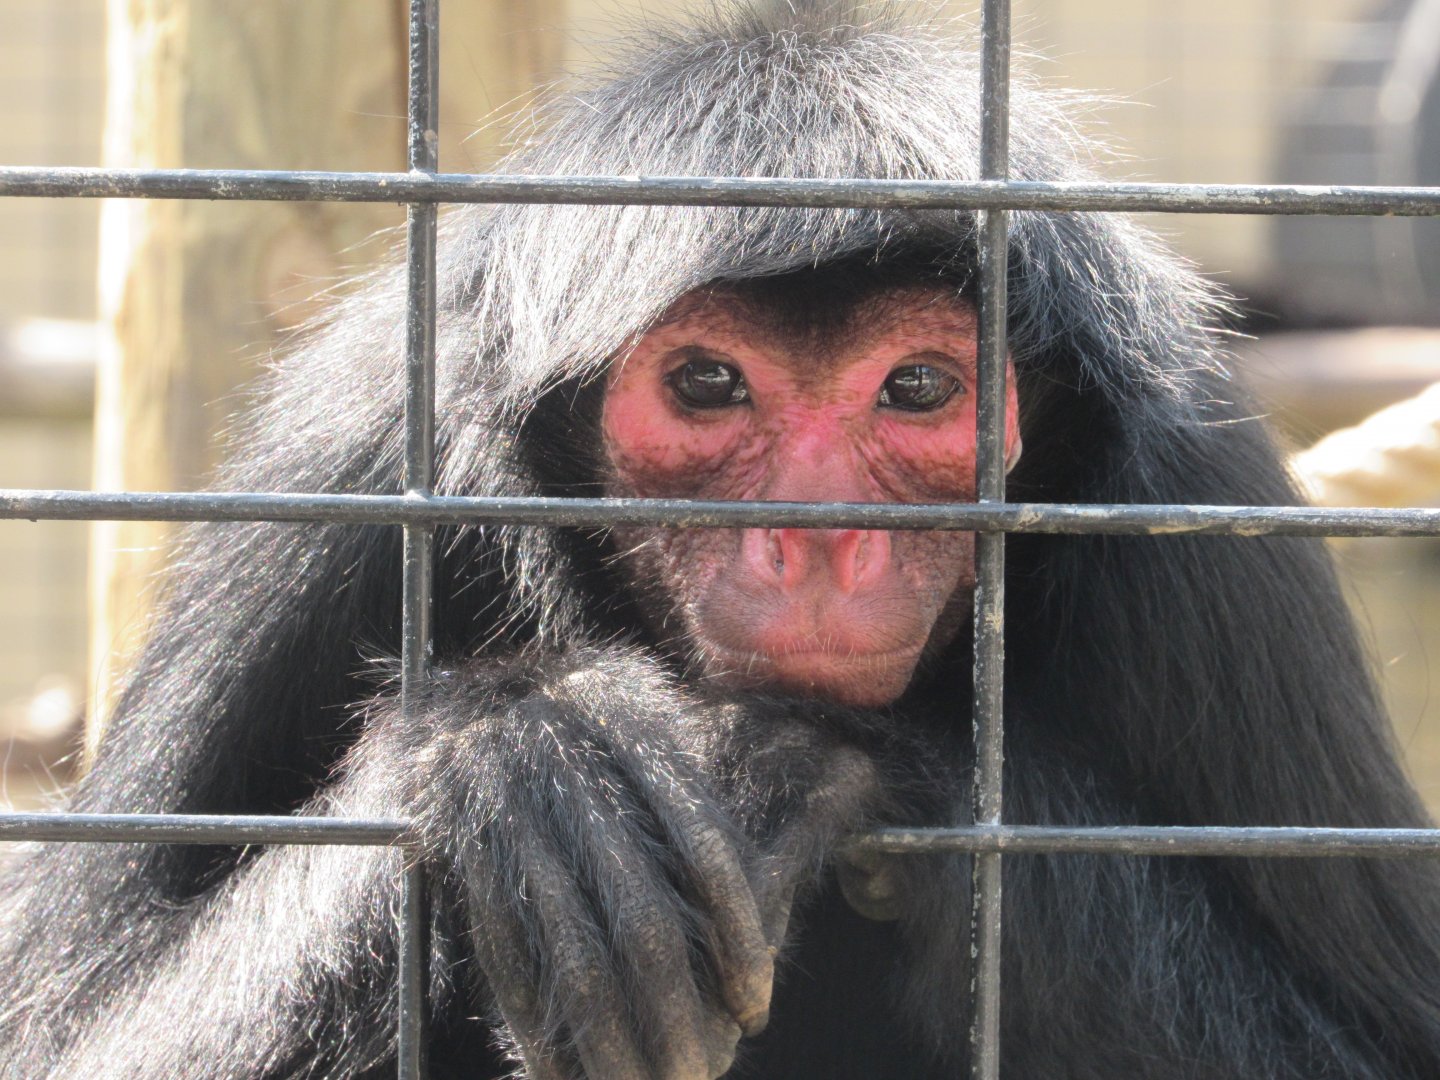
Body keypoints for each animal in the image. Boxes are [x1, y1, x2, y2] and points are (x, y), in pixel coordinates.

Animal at [4, 3, 1440, 1078]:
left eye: (918, 390)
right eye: (708, 386)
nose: (816, 539)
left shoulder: (1191, 506)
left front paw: (843, 766)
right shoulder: (357, 453)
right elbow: (65, 1032)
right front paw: (530, 757)